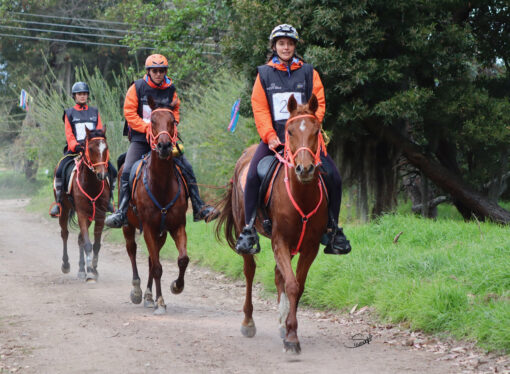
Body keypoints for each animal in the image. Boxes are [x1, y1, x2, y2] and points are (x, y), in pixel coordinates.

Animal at [57, 127, 110, 282]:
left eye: (106, 148)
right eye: (90, 149)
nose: (102, 175)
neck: (91, 185)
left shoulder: (99, 215)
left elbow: (96, 245)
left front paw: (93, 269)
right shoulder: (81, 214)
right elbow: (87, 244)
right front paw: (91, 273)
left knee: (80, 238)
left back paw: (82, 269)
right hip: (64, 210)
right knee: (65, 234)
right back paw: (66, 264)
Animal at [121, 95, 189, 316]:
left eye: (173, 121)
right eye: (152, 121)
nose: (165, 146)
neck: (161, 185)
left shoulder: (176, 226)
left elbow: (182, 259)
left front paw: (176, 286)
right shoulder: (149, 227)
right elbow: (158, 267)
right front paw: (160, 302)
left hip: (162, 233)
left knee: (152, 259)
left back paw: (149, 296)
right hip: (128, 225)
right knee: (132, 250)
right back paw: (137, 291)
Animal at [214, 93, 326, 354]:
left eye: (316, 130)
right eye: (290, 131)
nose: (305, 169)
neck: (302, 195)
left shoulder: (310, 247)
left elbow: (297, 285)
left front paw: (289, 329)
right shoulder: (279, 241)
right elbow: (292, 285)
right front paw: (293, 338)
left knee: (278, 275)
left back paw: (282, 323)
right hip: (247, 231)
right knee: (250, 271)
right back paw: (248, 322)